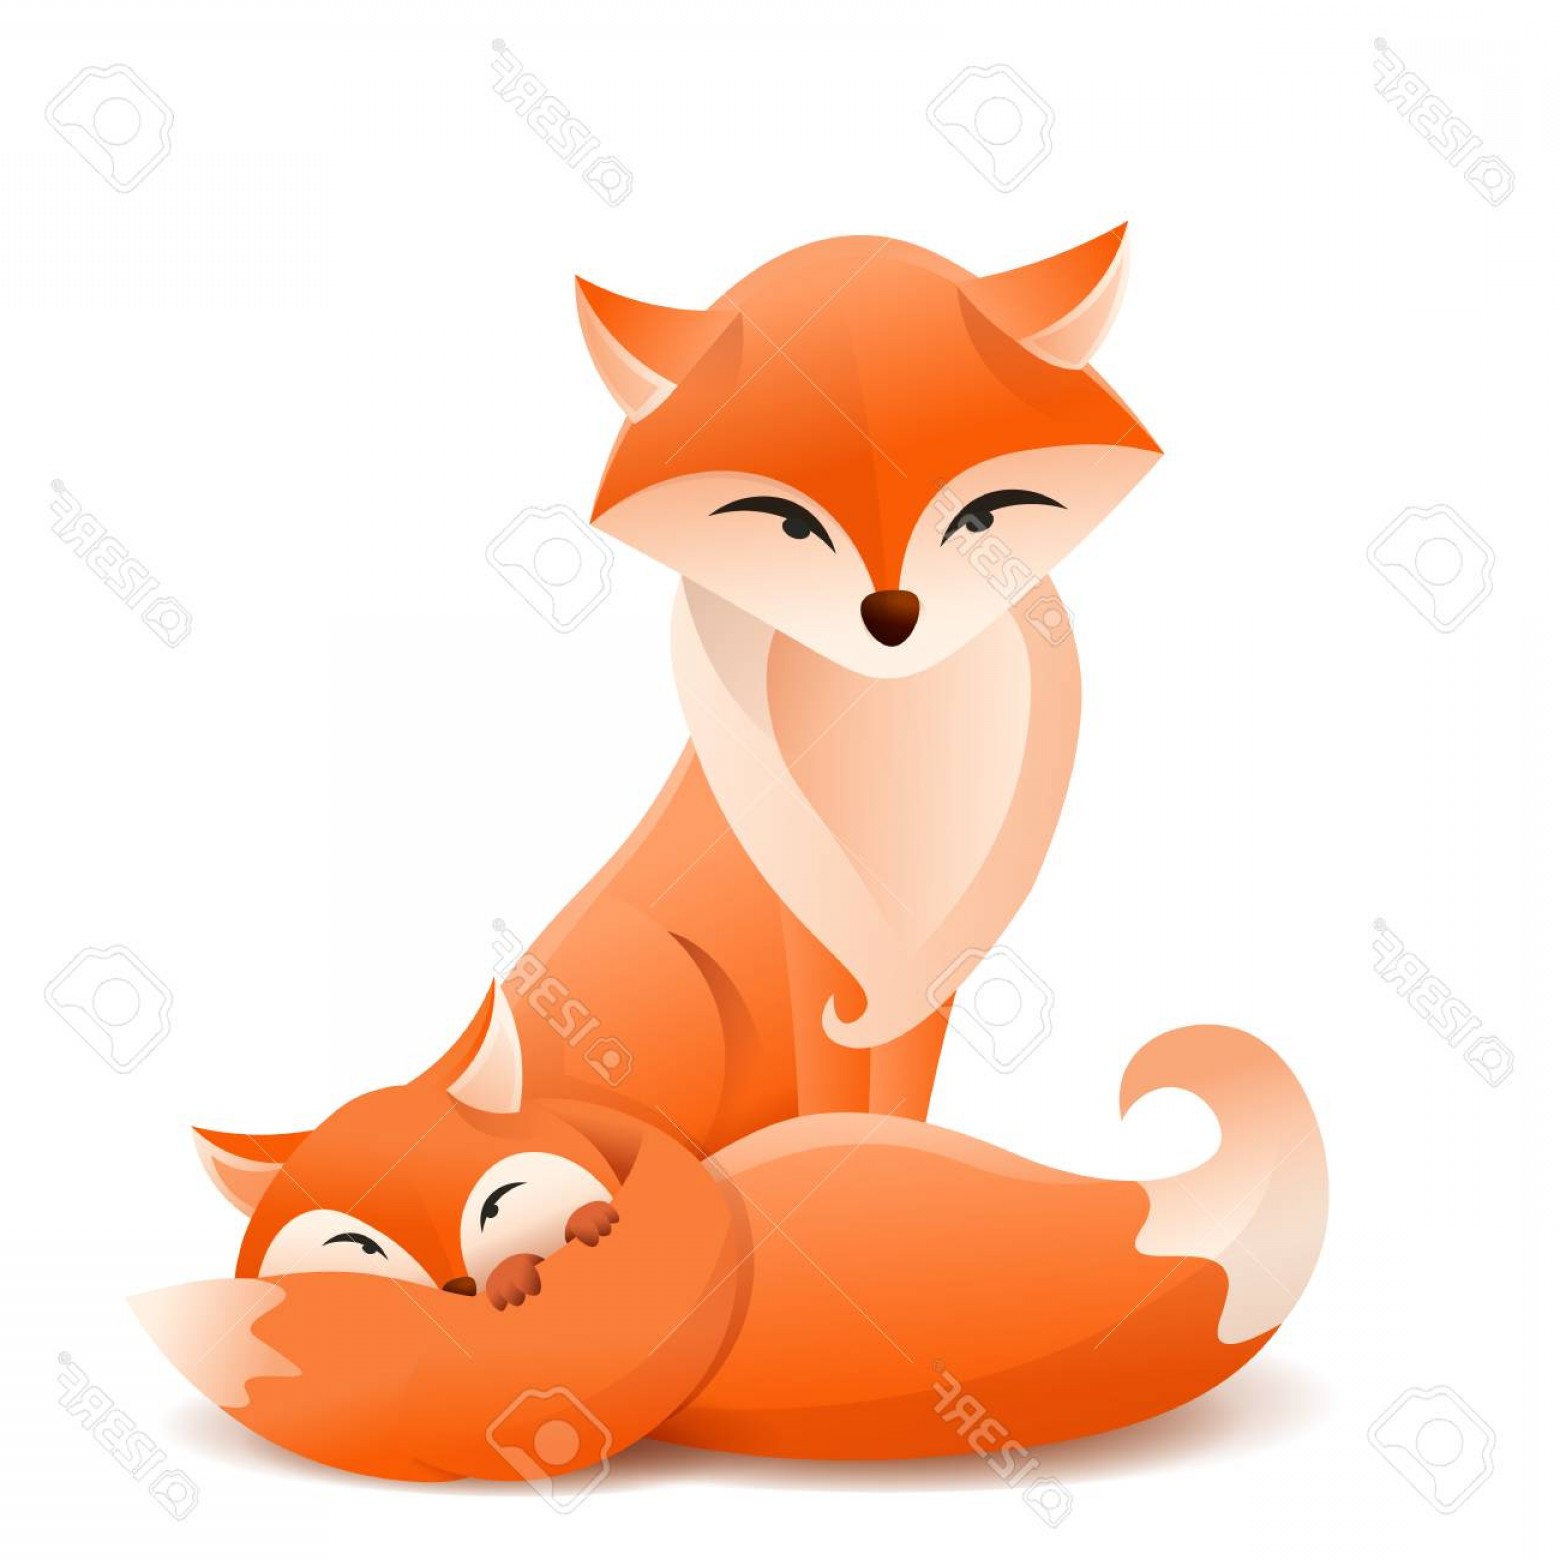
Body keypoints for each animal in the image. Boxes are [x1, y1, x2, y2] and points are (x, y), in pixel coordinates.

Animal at [493, 224, 1159, 1149]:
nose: (892, 615)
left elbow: (900, 1089)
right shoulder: (815, 945)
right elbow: (839, 1080)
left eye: (981, 518)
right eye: (791, 524)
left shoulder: (933, 955)